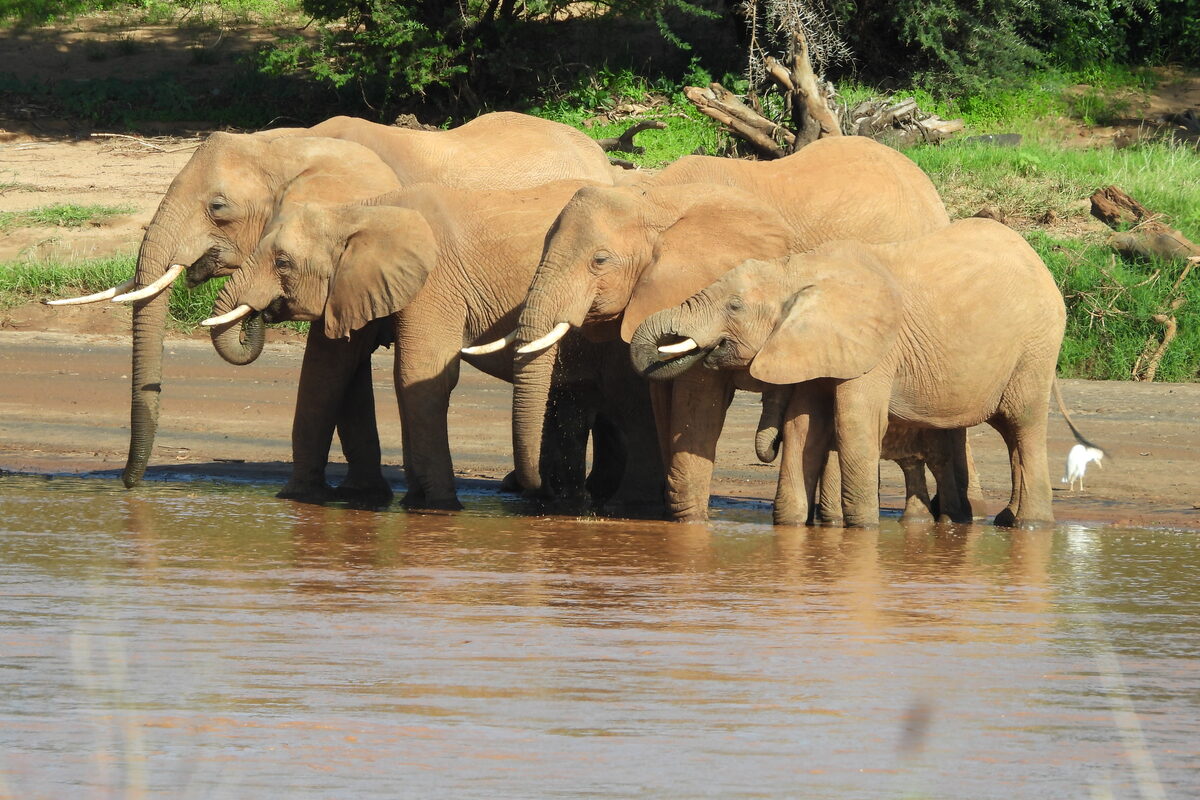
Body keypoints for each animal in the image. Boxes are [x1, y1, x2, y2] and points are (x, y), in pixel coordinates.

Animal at [48, 113, 623, 497]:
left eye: (219, 208)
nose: (130, 484)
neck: (291, 147)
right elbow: (343, 367)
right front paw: (360, 498)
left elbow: (332, 362)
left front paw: (306, 497)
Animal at [203, 180, 665, 512]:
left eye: (282, 263)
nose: (259, 316)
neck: (362, 211)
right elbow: (328, 372)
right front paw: (302, 499)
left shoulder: (433, 283)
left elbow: (418, 373)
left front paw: (439, 507)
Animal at [471, 135, 953, 520]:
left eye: (600, 260)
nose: (529, 486)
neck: (653, 197)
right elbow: (660, 394)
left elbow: (695, 398)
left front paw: (681, 521)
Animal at [630, 217, 1072, 528]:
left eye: (734, 307)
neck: (800, 271)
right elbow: (803, 427)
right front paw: (790, 526)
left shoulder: (876, 349)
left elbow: (854, 425)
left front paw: (861, 530)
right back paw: (995, 520)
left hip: (1036, 346)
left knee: (1022, 425)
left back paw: (1028, 525)